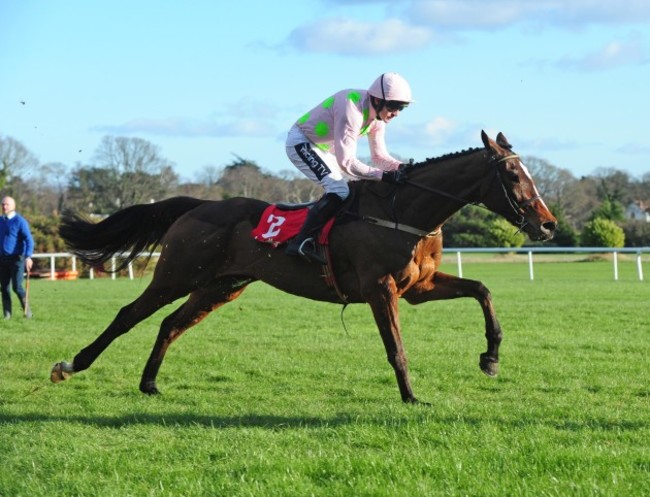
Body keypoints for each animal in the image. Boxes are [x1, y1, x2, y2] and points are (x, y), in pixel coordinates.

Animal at [50, 130, 556, 402]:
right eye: (512, 175)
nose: (548, 225)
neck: (404, 213)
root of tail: (199, 205)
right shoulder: (380, 289)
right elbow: (396, 347)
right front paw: (412, 397)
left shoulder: (420, 286)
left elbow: (483, 290)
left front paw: (490, 359)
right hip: (177, 274)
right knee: (128, 315)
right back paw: (71, 365)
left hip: (220, 285)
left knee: (170, 324)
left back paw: (150, 383)